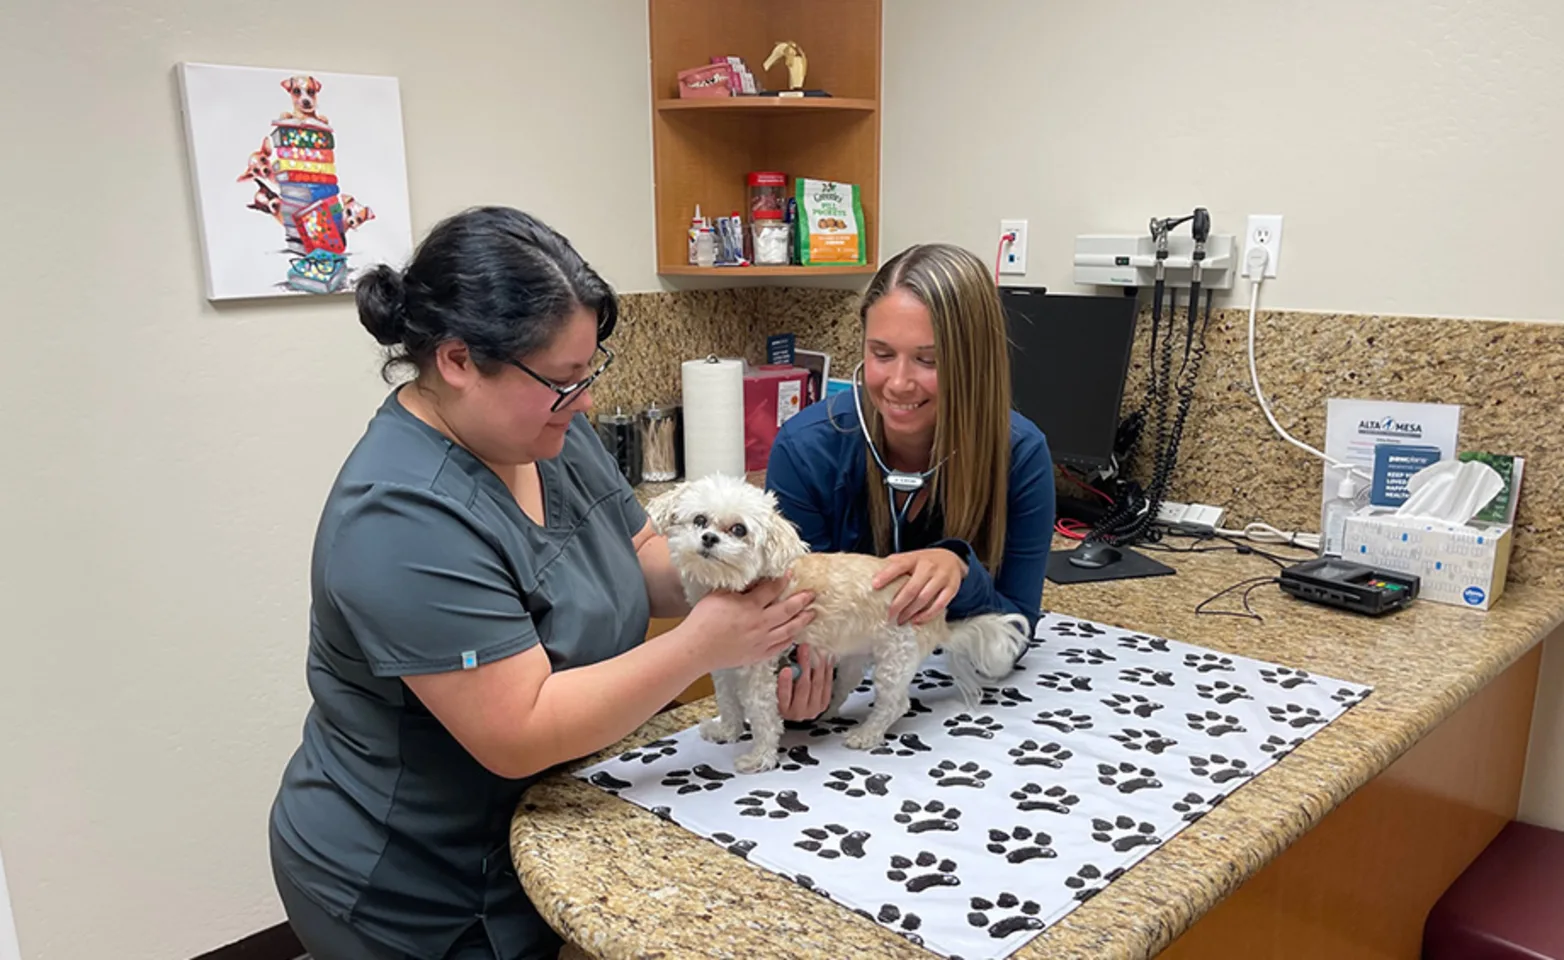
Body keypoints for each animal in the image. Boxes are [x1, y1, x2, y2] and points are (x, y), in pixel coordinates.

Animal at [641, 475, 1032, 775]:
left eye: (738, 530)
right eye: (699, 520)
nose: (709, 539)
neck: (736, 586)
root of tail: (938, 621)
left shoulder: (759, 668)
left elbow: (763, 715)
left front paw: (760, 757)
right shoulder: (723, 663)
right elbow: (727, 701)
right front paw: (727, 730)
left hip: (896, 654)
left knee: (896, 703)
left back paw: (867, 734)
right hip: (854, 652)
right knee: (848, 684)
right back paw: (827, 709)